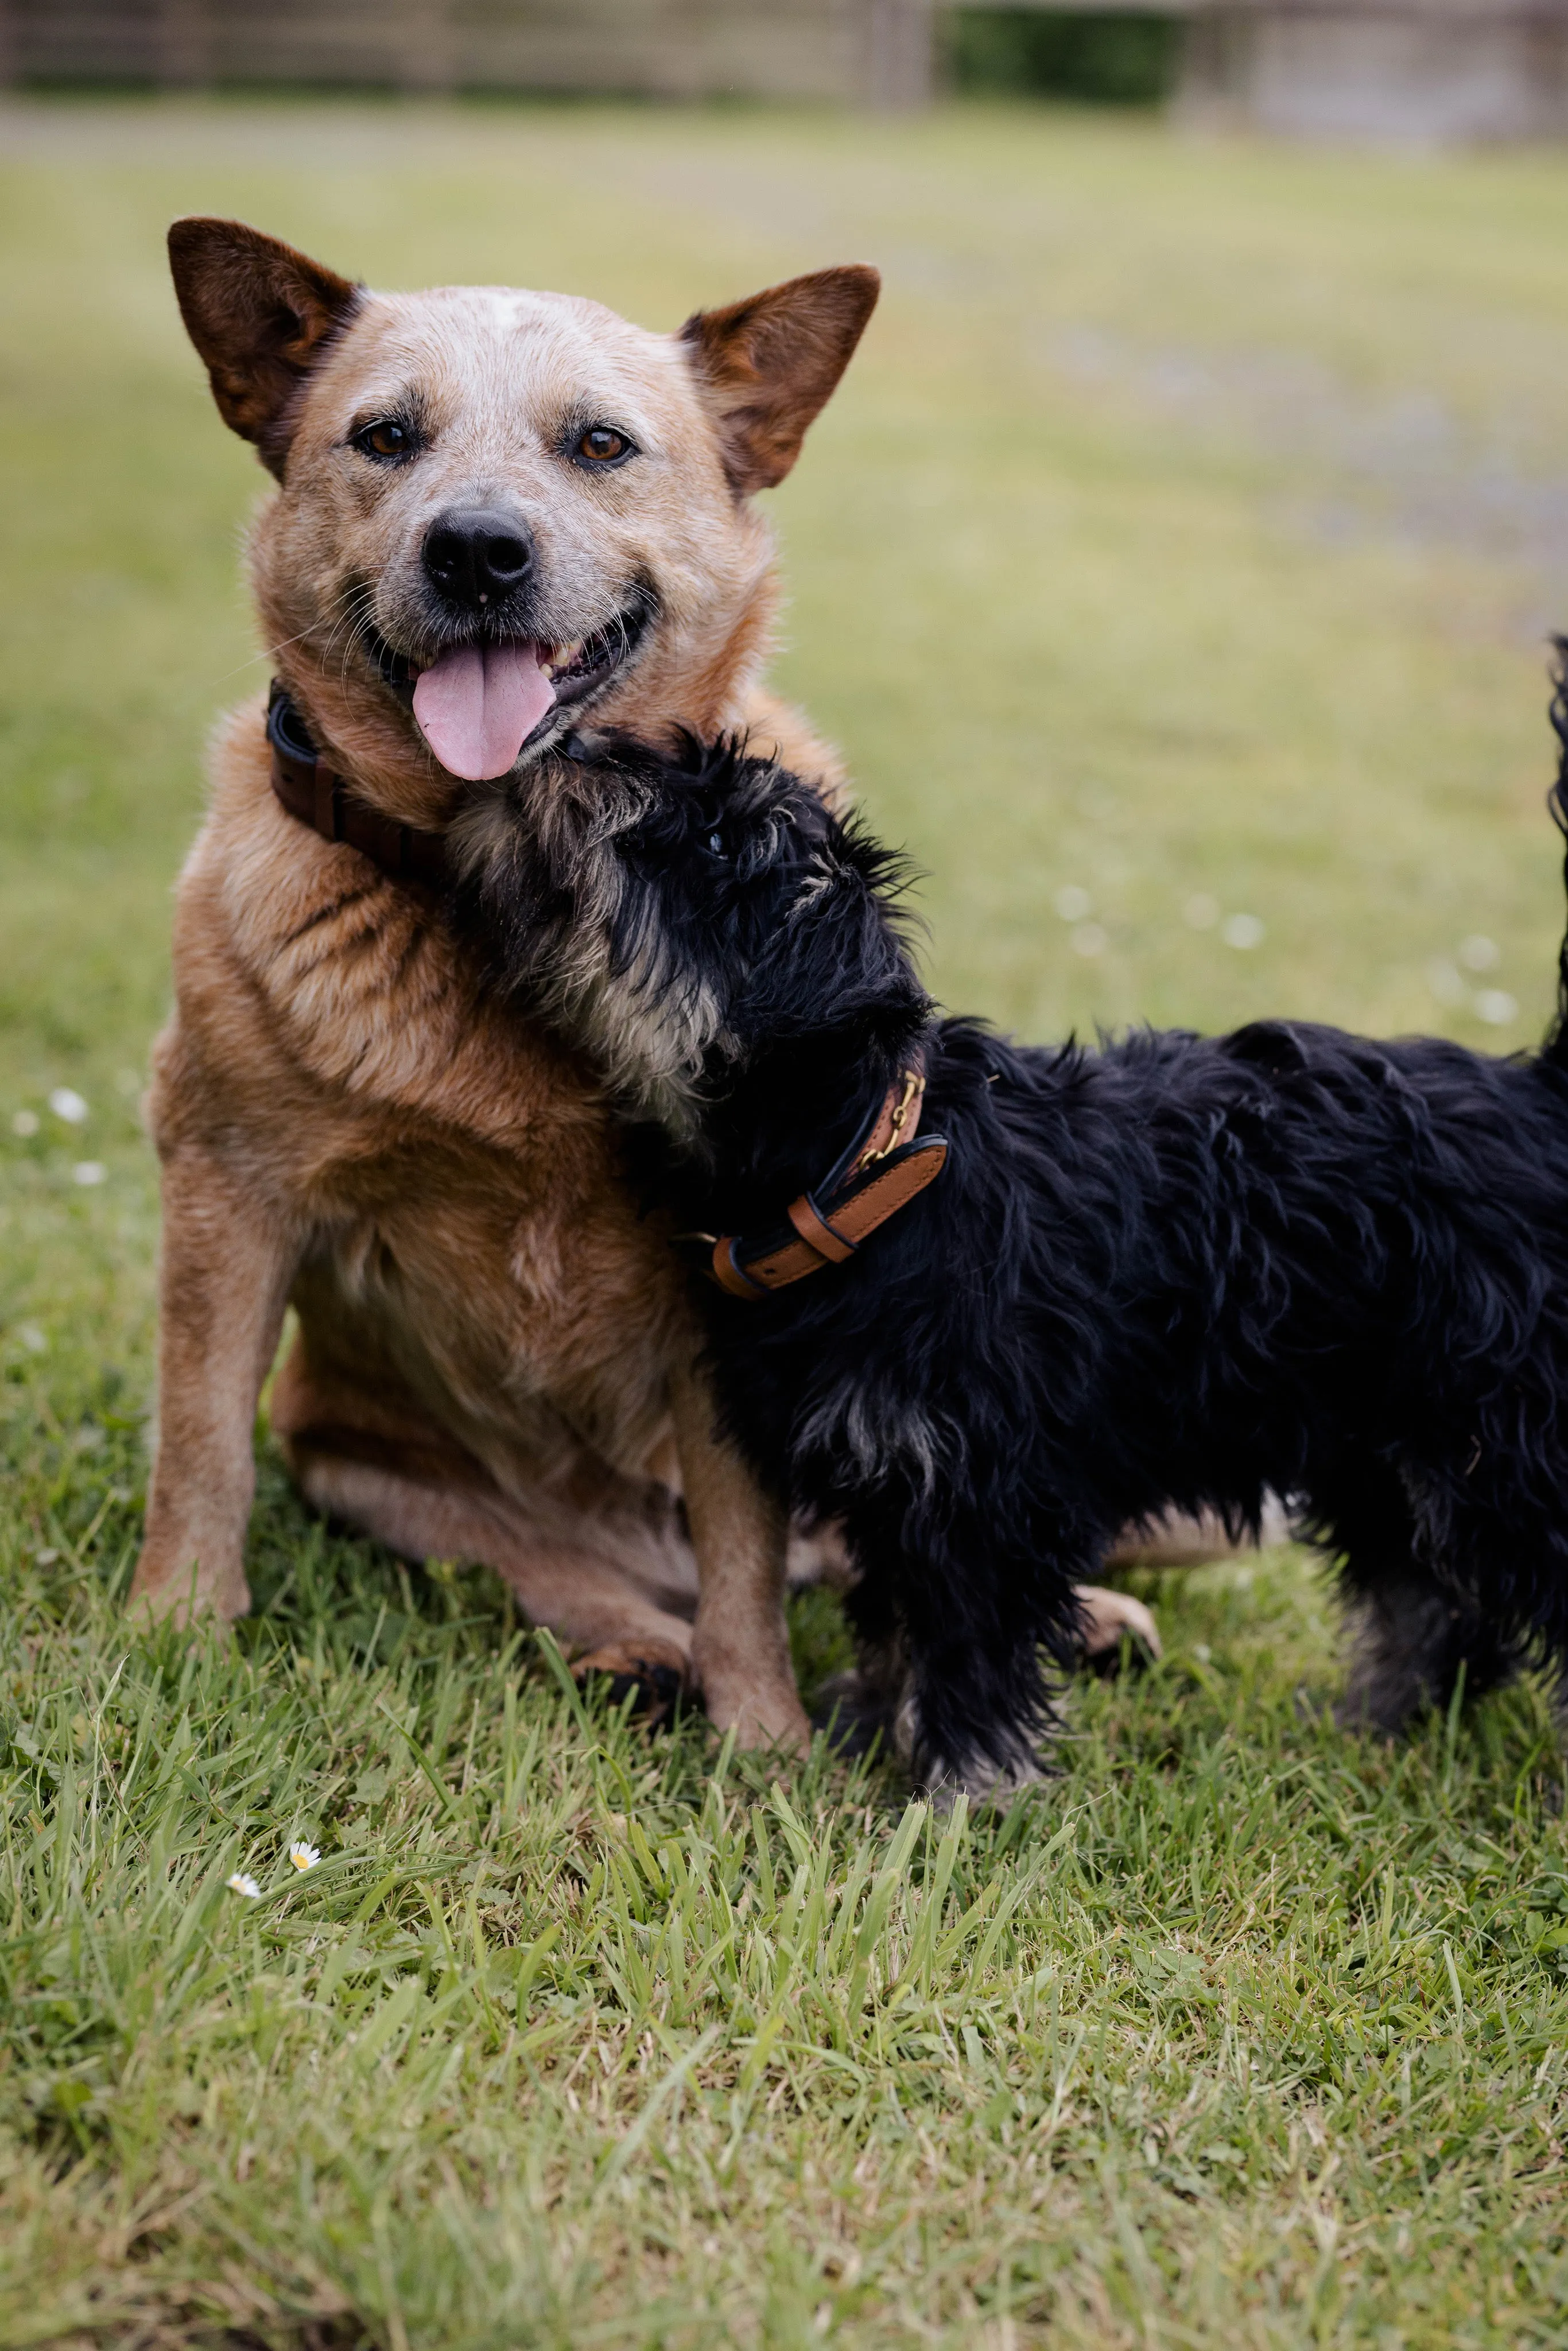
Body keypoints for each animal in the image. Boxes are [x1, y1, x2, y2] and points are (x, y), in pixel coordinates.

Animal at [135, 224, 1161, 1749]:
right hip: (375, 1466)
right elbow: (201, 1444)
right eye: (385, 437)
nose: (478, 550)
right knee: (540, 1561)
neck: (501, 880)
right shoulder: (227, 1187)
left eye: (599, 444)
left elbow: (744, 1548)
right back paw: (632, 1642)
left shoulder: (735, 1294)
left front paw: (766, 1742)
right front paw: (173, 1637)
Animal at [453, 696, 1568, 1796]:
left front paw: (960, 1794)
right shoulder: (890, 1471)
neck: (870, 1172)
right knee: (1428, 1596)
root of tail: (1542, 1095)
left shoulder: (985, 1492)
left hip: (1498, 1446)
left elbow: (970, 1651)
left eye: (720, 841)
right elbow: (896, 1617)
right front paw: (873, 1723)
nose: (572, 741)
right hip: (1382, 1443)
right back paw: (1372, 1724)